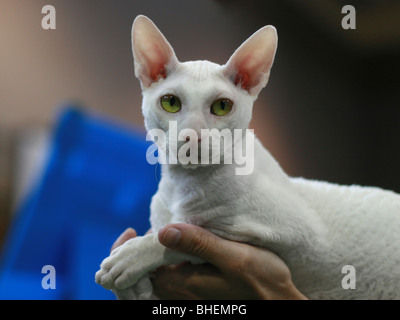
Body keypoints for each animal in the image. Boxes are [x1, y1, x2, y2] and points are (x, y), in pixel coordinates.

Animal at [96, 15, 400, 300]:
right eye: (170, 102)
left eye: (222, 106)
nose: (193, 136)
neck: (184, 183)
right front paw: (136, 287)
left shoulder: (298, 239)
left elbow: (186, 233)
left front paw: (130, 259)